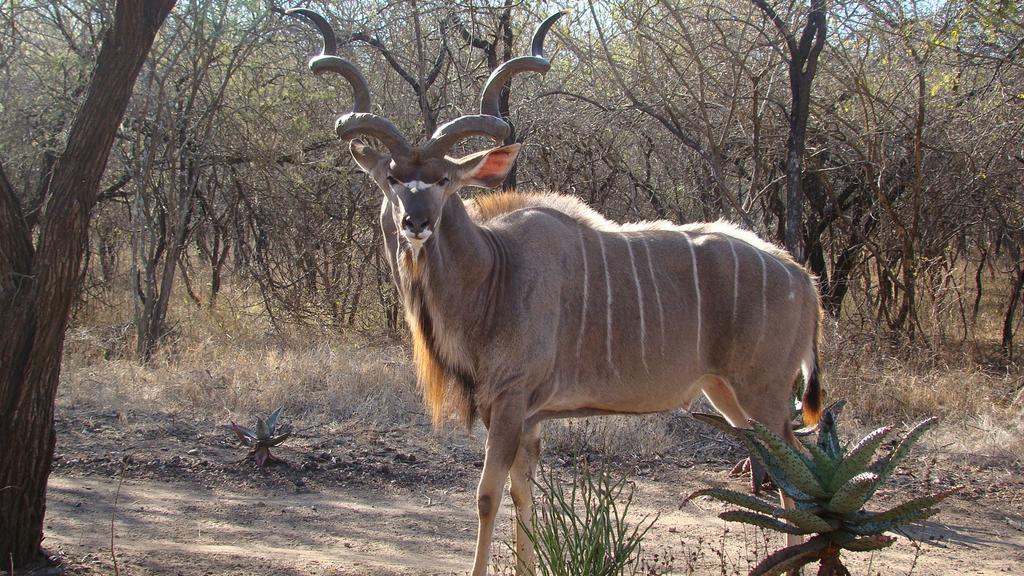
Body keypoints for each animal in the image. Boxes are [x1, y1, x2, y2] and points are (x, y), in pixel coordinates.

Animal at [286, 7, 823, 569]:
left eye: (444, 181)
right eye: (392, 178)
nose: (415, 223)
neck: (493, 272)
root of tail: (804, 280)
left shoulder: (509, 400)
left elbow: (487, 495)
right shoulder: (527, 415)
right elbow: (522, 492)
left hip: (762, 392)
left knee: (797, 472)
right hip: (727, 394)